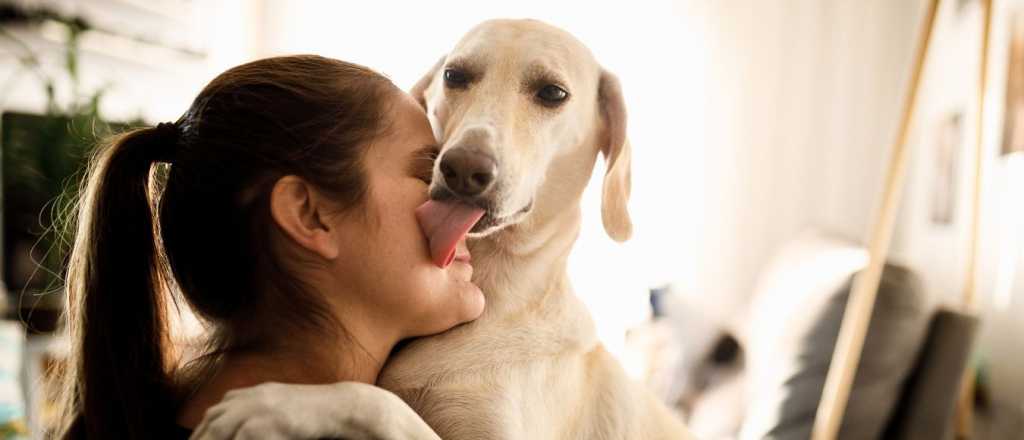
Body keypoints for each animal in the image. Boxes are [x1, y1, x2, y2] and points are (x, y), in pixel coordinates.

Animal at [189, 18, 692, 440]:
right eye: (455, 76)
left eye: (552, 93)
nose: (464, 169)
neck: (494, 293)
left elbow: (380, 401)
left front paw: (277, 402)